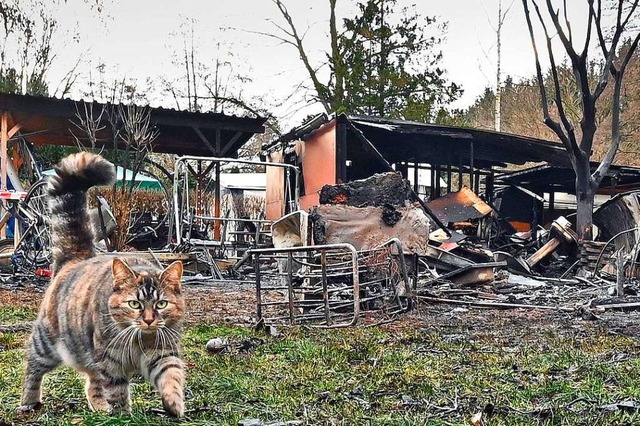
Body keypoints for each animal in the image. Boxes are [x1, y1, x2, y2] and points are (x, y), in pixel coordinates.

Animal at [17, 152, 186, 416]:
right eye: (135, 304)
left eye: (161, 304)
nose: (149, 320)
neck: (140, 340)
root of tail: (76, 257)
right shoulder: (110, 360)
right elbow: (117, 389)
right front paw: (123, 414)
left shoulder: (162, 352)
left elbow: (172, 375)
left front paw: (174, 404)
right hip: (47, 343)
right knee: (33, 368)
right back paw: (29, 401)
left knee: (92, 382)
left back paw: (99, 407)